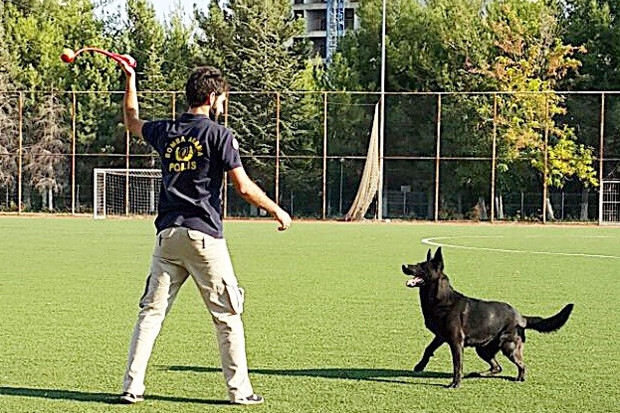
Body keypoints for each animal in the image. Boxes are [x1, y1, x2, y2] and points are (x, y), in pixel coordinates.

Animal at [404, 248, 572, 386]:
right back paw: (478, 374)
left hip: (509, 347)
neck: (441, 300)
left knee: (521, 365)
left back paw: (519, 378)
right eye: (418, 263)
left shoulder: (456, 341)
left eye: (422, 266)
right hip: (483, 349)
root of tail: (521, 317)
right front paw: (420, 366)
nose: (404, 266)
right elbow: (428, 349)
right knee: (497, 367)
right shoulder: (441, 336)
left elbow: (457, 364)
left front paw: (455, 383)